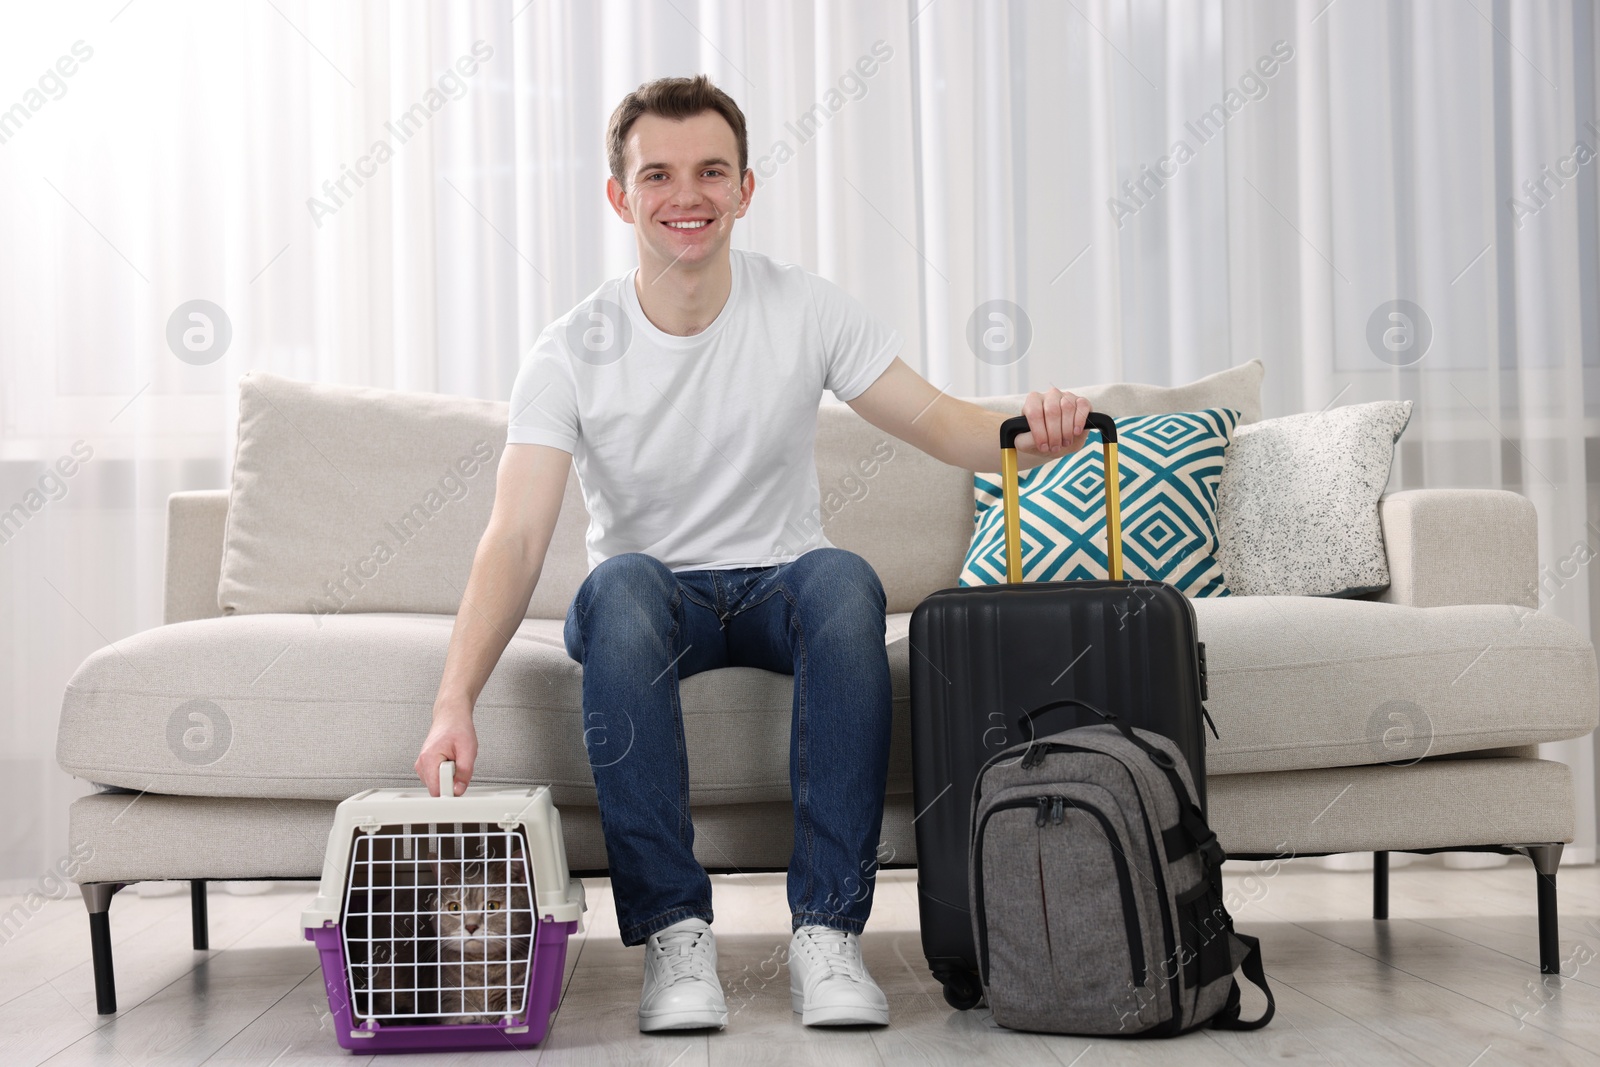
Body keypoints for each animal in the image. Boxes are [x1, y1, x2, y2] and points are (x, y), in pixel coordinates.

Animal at [435, 857, 534, 1023]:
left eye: (492, 906)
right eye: (454, 907)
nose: (470, 926)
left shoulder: (518, 995)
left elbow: (516, 1015)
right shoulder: (450, 997)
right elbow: (458, 1016)